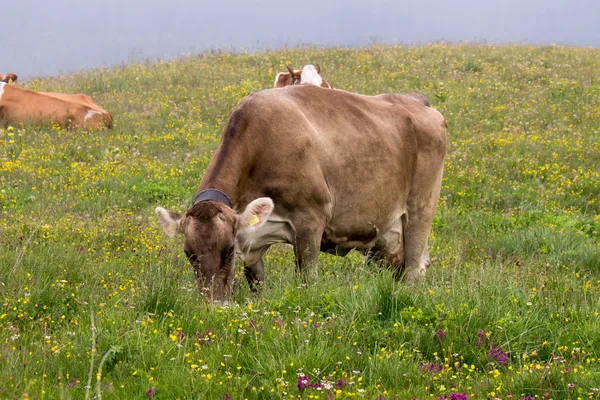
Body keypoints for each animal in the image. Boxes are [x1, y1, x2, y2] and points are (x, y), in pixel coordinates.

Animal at [155, 86, 446, 302]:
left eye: (228, 251)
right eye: (188, 254)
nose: (214, 306)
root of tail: (415, 100)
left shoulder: (310, 222)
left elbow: (307, 281)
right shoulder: (252, 240)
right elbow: (257, 286)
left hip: (420, 212)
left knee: (413, 270)